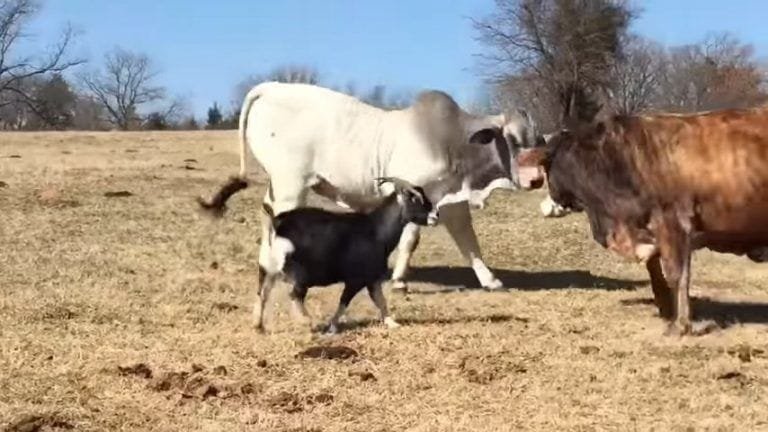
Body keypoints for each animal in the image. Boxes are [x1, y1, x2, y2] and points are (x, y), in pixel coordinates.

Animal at [253, 177, 437, 333]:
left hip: (268, 266)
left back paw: (259, 326)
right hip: (300, 274)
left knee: (263, 292)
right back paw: (306, 321)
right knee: (294, 295)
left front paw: (392, 323)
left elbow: (380, 300)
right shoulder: (355, 279)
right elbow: (344, 301)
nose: (435, 216)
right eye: (414, 199)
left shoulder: (372, 278)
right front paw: (332, 327)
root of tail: (277, 224)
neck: (376, 231)